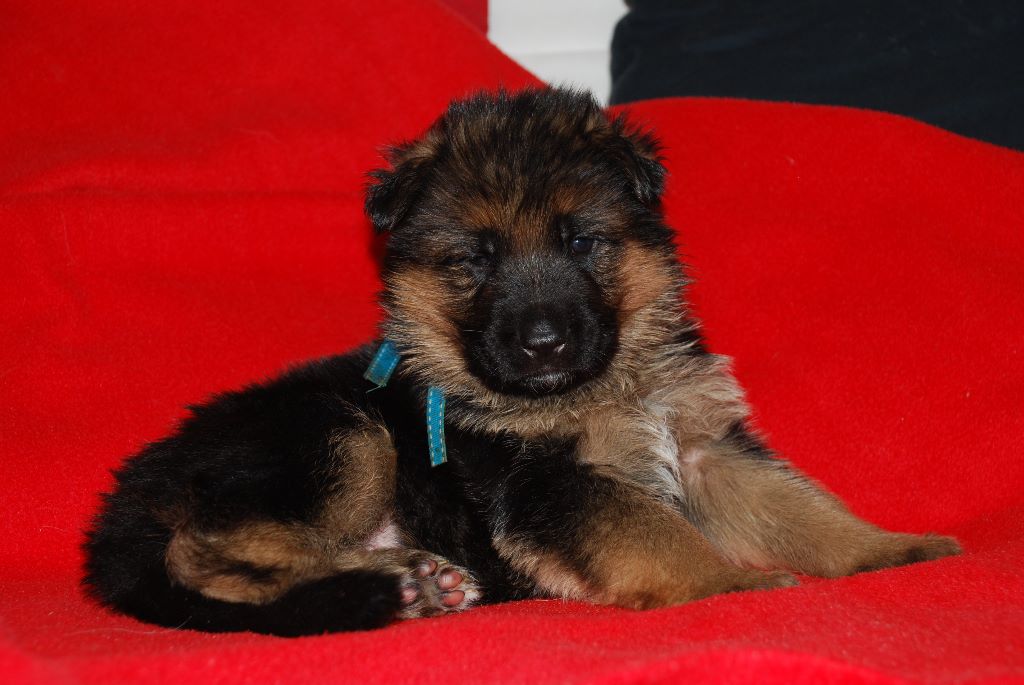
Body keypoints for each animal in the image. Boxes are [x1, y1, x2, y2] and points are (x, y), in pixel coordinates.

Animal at [83, 87, 961, 636]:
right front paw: (729, 584)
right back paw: (392, 583)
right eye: (475, 260)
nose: (543, 344)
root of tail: (126, 505)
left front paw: (888, 550)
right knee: (201, 552)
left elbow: (801, 508)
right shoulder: (550, 483)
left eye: (580, 241)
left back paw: (416, 574)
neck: (602, 385)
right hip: (339, 435)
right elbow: (658, 531)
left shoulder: (706, 447)